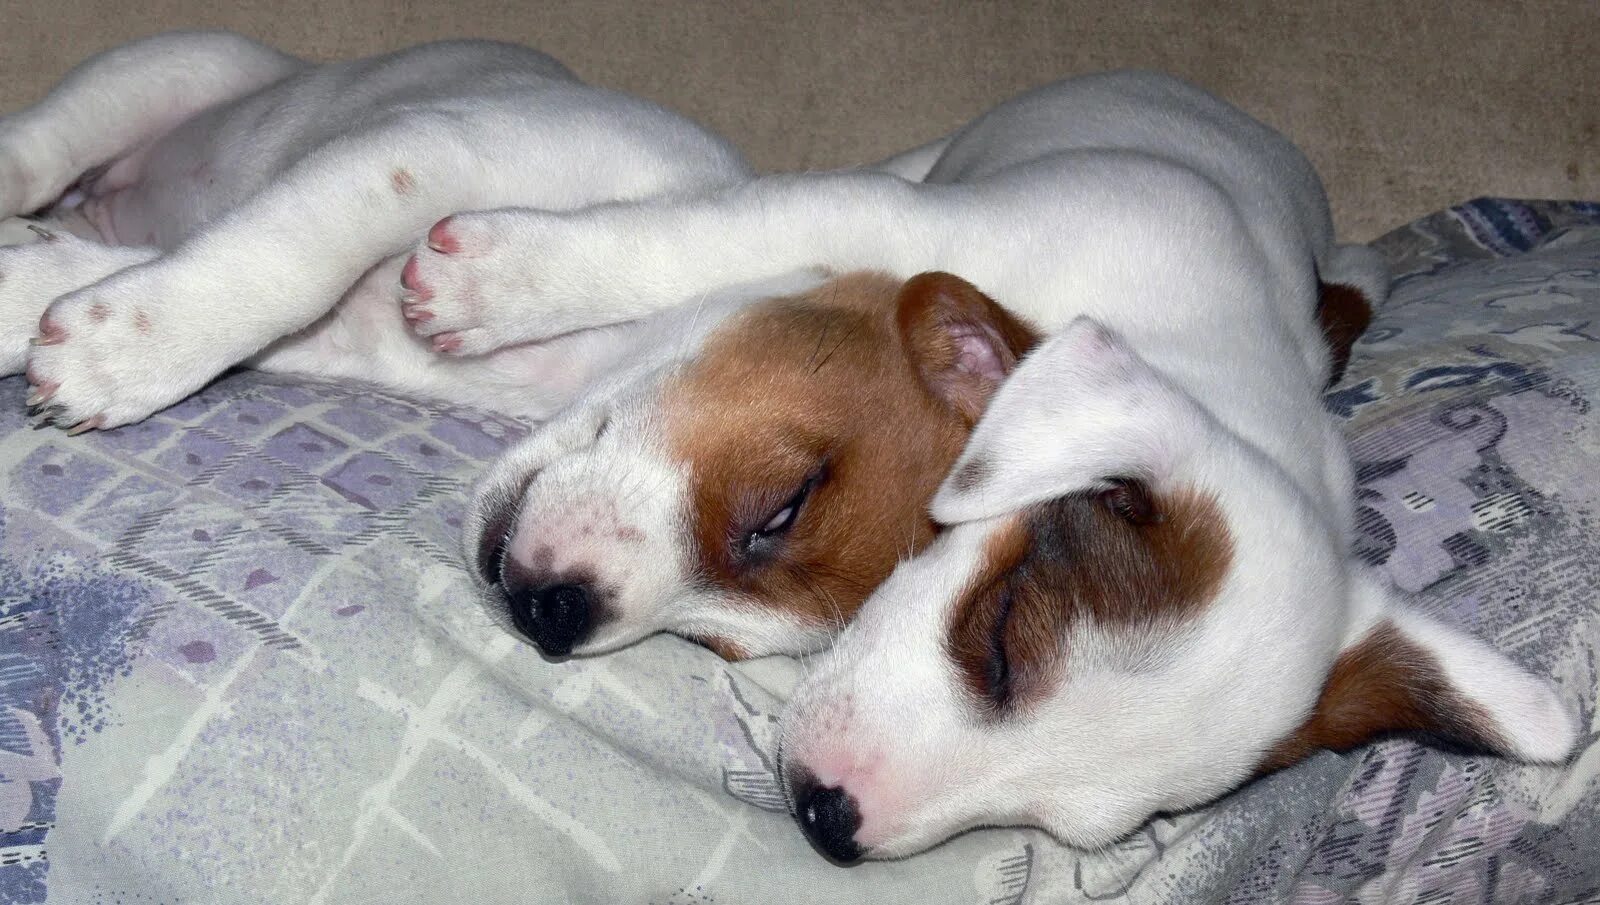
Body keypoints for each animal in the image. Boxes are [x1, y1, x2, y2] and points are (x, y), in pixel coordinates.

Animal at [1, 33, 748, 431]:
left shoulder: (357, 341)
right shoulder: (434, 150)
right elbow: (287, 264)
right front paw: (123, 351)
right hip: (179, 67)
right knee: (37, 149)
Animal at [435, 69, 1388, 658]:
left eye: (711, 643)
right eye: (784, 505)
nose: (555, 613)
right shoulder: (902, 214)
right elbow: (685, 241)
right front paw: (495, 283)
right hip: (929, 162)